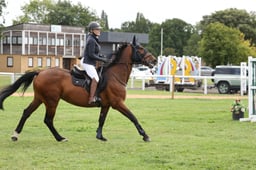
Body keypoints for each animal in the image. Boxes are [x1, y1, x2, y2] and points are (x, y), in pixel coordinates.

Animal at [0, 36, 156, 143]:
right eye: (140, 49)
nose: (154, 60)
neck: (115, 76)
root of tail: (40, 72)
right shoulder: (118, 103)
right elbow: (133, 117)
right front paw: (145, 136)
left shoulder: (106, 105)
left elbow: (101, 120)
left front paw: (100, 136)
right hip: (52, 101)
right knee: (48, 120)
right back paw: (60, 138)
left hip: (39, 98)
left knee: (26, 112)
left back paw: (15, 135)